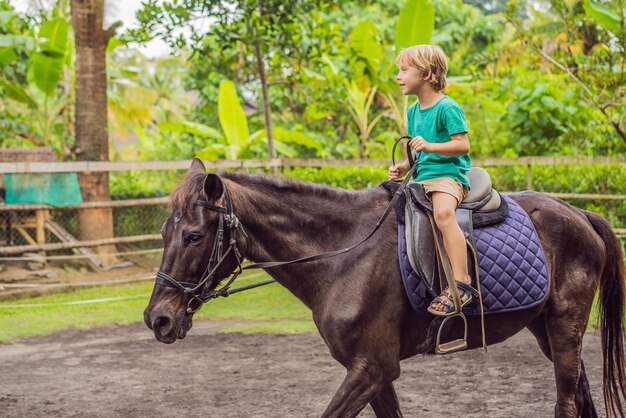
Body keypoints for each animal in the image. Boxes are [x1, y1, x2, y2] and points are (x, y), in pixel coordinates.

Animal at [143, 158, 624, 416]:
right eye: (165, 232)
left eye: (194, 237)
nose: (157, 318)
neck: (340, 256)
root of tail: (578, 213)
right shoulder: (372, 372)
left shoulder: (372, 368)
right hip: (546, 329)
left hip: (564, 326)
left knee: (567, 402)